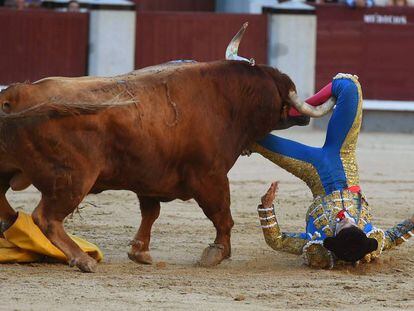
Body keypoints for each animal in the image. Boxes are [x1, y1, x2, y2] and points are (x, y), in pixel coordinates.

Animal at [0, 25, 334, 272]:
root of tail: (16, 95)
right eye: (285, 92)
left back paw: (16, 225)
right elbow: (222, 215)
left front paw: (140, 252)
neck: (229, 100)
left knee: (5, 203)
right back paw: (82, 259)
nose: (305, 114)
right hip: (73, 180)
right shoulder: (210, 176)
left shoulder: (149, 179)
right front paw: (216, 253)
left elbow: (151, 213)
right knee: (46, 217)